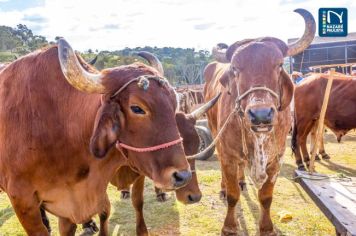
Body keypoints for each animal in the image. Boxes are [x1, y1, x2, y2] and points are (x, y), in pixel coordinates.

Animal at [203, 8, 314, 235]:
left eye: (279, 65)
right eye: (235, 68)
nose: (261, 115)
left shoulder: (276, 159)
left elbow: (266, 197)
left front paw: (267, 228)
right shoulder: (227, 154)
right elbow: (233, 196)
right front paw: (229, 226)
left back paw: (242, 181)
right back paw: (225, 187)